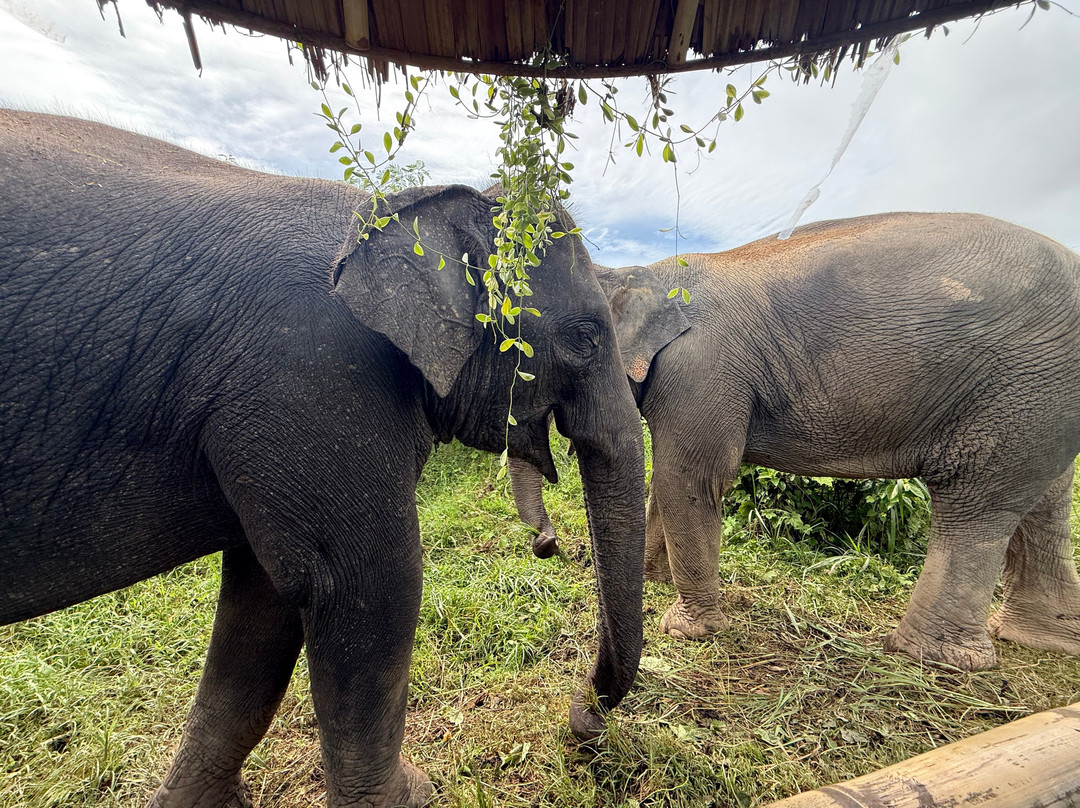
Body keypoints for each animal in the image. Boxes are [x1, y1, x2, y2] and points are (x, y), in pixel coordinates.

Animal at [0, 109, 646, 808]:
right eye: (585, 339)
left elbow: (264, 606)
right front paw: (412, 797)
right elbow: (366, 588)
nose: (583, 720)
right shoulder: (318, 375)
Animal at [510, 212, 1080, 671]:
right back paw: (1042, 639)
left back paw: (930, 657)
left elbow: (688, 478)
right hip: (1044, 395)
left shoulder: (702, 369)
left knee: (977, 504)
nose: (547, 546)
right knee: (1043, 504)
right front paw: (651, 584)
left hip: (1019, 388)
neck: (641, 271)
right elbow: (666, 485)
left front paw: (686, 629)